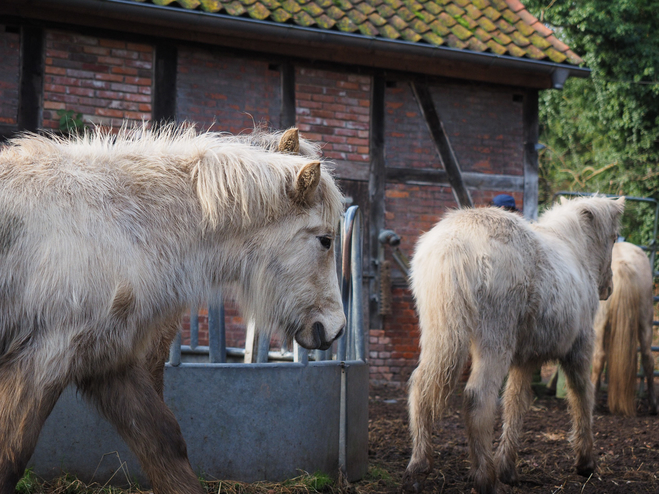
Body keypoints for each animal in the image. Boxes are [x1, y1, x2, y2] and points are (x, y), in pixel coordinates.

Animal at [0, 126, 348, 494]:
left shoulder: (108, 360)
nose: (336, 327)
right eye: (325, 240)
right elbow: (11, 456)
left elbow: (165, 443)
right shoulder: (43, 357)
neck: (118, 226)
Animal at [402, 196, 624, 494]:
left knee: (421, 385)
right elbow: (581, 396)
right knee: (478, 397)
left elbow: (515, 403)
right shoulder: (579, 349)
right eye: (613, 237)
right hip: (495, 342)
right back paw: (485, 478)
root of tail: (455, 242)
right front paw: (585, 463)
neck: (575, 249)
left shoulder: (525, 360)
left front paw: (508, 468)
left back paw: (419, 464)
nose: (608, 289)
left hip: (440, 334)